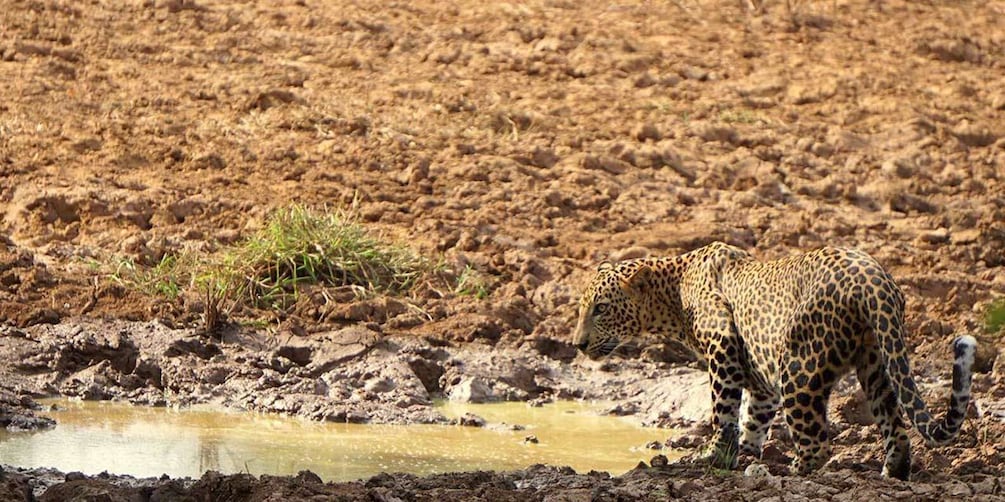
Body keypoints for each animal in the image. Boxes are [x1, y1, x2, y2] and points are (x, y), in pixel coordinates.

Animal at [578, 240, 976, 479]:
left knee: (817, 440)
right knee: (895, 424)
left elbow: (723, 411)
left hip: (800, 368)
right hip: (877, 361)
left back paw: (793, 472)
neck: (672, 291)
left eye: (601, 308)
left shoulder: (722, 347)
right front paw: (748, 453)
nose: (578, 344)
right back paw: (892, 471)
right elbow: (755, 416)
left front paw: (716, 458)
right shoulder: (759, 375)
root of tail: (873, 278)